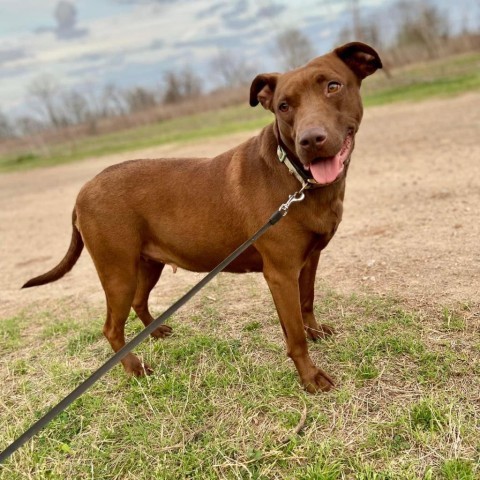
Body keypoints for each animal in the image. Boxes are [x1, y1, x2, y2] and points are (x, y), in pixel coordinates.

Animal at [23, 42, 382, 394]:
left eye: (333, 86)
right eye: (283, 106)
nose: (311, 140)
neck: (297, 177)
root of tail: (83, 191)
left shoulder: (309, 260)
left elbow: (307, 302)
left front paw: (315, 332)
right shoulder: (280, 274)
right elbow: (293, 335)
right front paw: (310, 377)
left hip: (147, 265)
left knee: (139, 302)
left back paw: (156, 333)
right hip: (118, 272)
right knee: (112, 328)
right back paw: (134, 367)